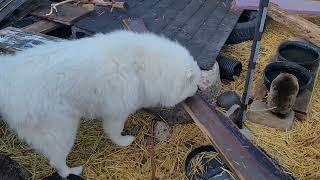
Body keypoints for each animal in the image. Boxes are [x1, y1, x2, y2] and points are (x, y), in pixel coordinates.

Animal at [0, 30, 200, 177]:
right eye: (195, 85)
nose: (197, 92)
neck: (144, 65)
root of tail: (9, 81)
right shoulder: (117, 110)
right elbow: (114, 131)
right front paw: (123, 142)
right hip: (61, 130)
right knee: (56, 161)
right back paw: (72, 171)